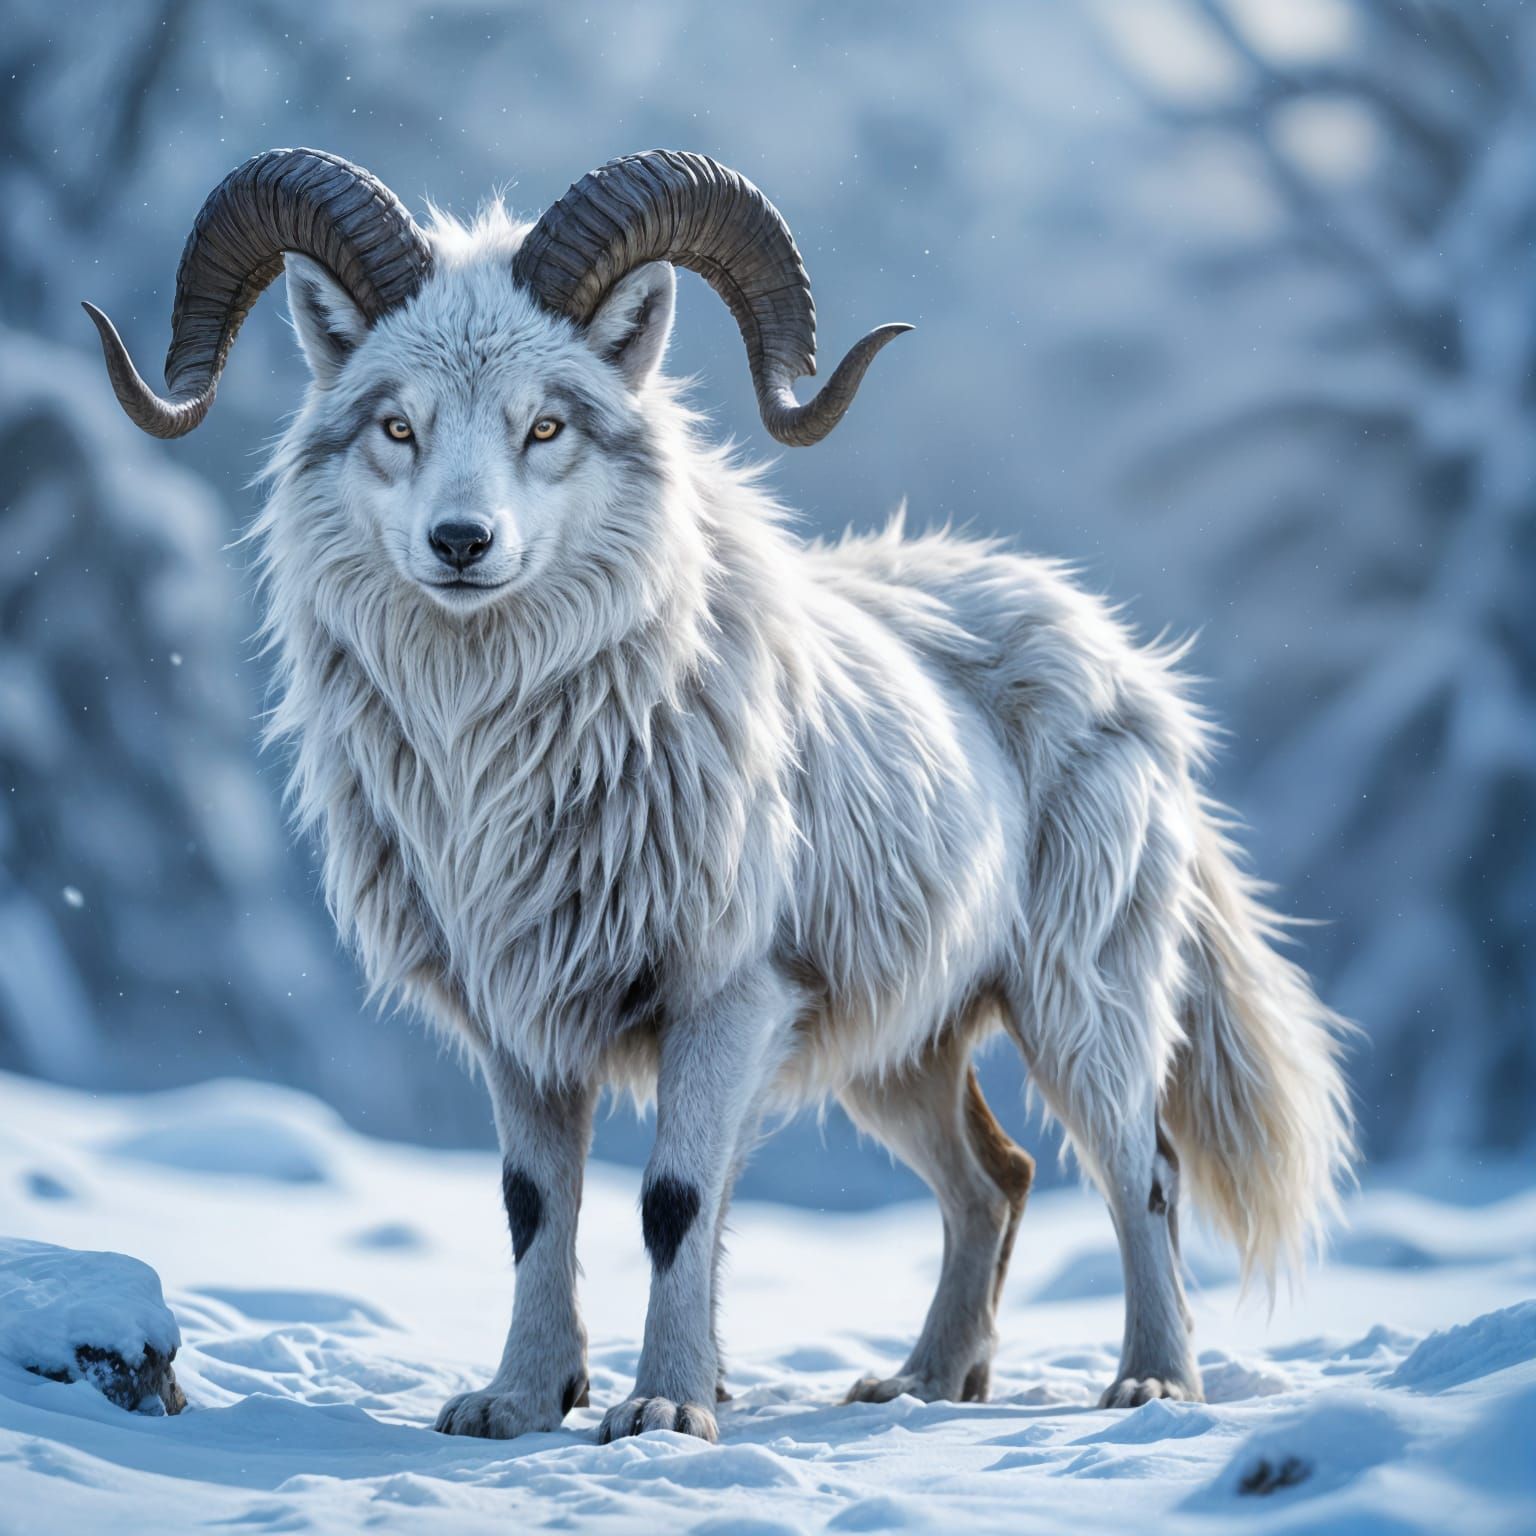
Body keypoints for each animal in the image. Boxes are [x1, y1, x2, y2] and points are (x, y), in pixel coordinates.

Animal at [86, 147, 1355, 1444]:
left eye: (546, 423)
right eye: (398, 424)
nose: (461, 542)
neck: (502, 766)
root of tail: (1126, 665)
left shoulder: (724, 1000)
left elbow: (673, 1203)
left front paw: (663, 1411)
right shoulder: (522, 1032)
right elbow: (534, 1207)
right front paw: (518, 1403)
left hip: (1078, 1002)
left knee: (1141, 1170)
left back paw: (1151, 1385)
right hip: (896, 1052)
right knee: (995, 1180)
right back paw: (921, 1384)